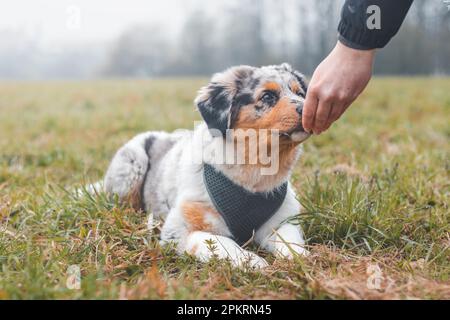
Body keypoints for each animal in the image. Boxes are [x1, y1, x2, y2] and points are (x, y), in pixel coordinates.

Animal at [103, 62, 312, 268]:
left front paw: (301, 257)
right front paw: (252, 261)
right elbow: (222, 242)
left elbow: (289, 239)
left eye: (301, 93)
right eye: (268, 96)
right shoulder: (179, 229)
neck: (254, 172)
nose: (307, 109)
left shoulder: (281, 220)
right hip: (132, 166)